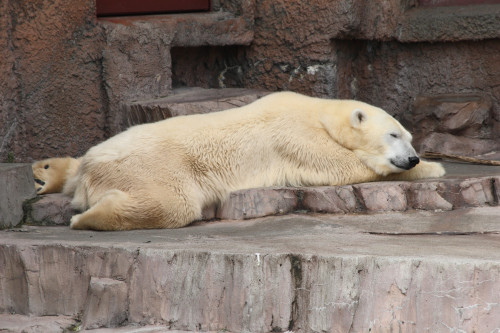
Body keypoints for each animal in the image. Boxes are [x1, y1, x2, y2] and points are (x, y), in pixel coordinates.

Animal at [32, 92, 446, 230]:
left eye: (409, 137)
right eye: (394, 135)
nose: (412, 157)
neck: (319, 112)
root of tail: (93, 164)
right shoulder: (293, 135)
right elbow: (340, 165)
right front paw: (435, 167)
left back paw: (49, 172)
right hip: (151, 165)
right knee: (171, 202)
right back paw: (86, 217)